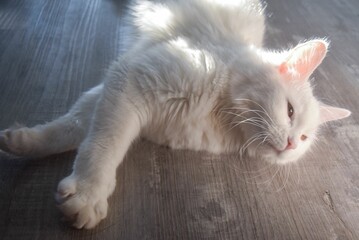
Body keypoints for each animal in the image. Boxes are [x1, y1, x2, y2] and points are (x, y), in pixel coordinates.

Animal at [0, 0, 352, 229]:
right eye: (289, 111)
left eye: (304, 138)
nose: (291, 144)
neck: (220, 113)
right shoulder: (131, 80)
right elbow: (101, 145)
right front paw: (89, 192)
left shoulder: (118, 92)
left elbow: (72, 129)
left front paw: (22, 142)